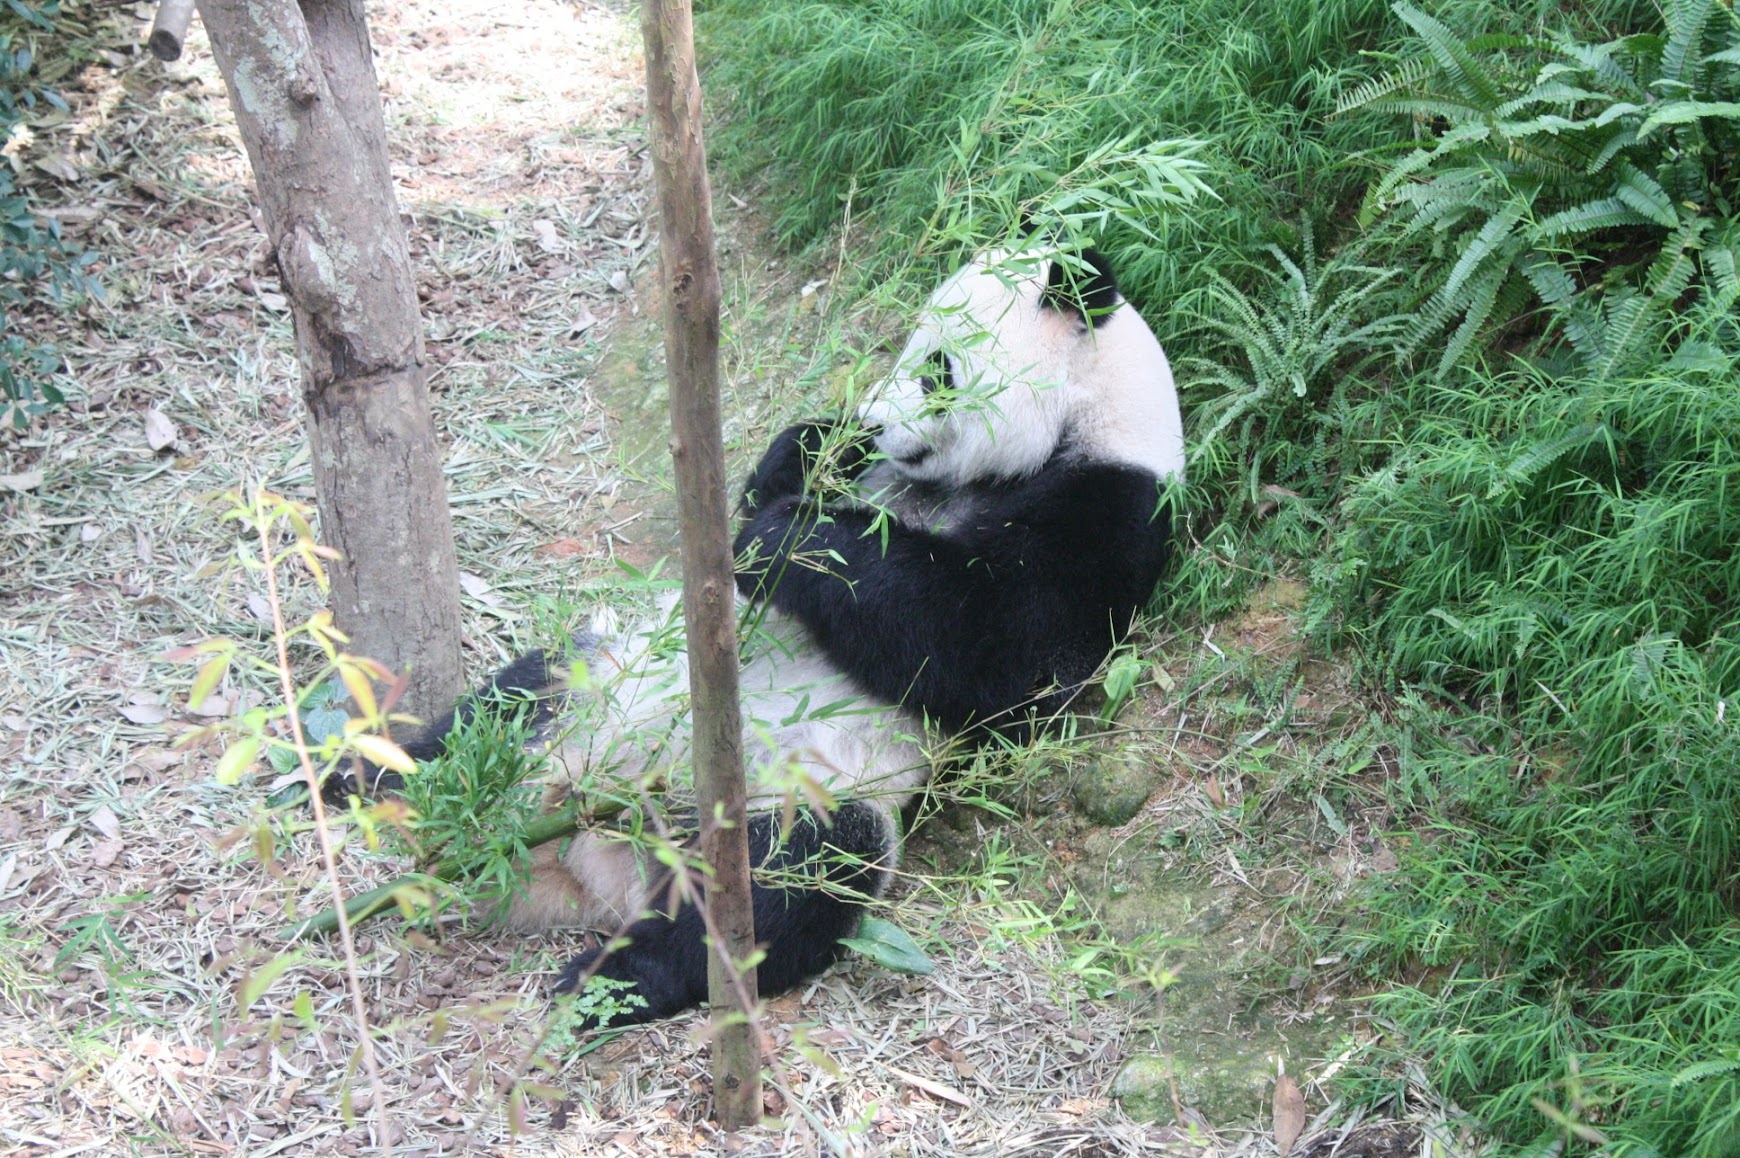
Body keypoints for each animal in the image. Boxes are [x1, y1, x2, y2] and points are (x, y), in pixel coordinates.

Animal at [380, 243, 1183, 1026]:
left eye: (936, 368)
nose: (876, 419)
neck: (1088, 421)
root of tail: (586, 860)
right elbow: (761, 513)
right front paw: (821, 443)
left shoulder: (1107, 520)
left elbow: (988, 647)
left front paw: (793, 536)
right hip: (602, 681)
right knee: (505, 707)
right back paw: (384, 776)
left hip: (798, 791)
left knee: (785, 886)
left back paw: (613, 980)